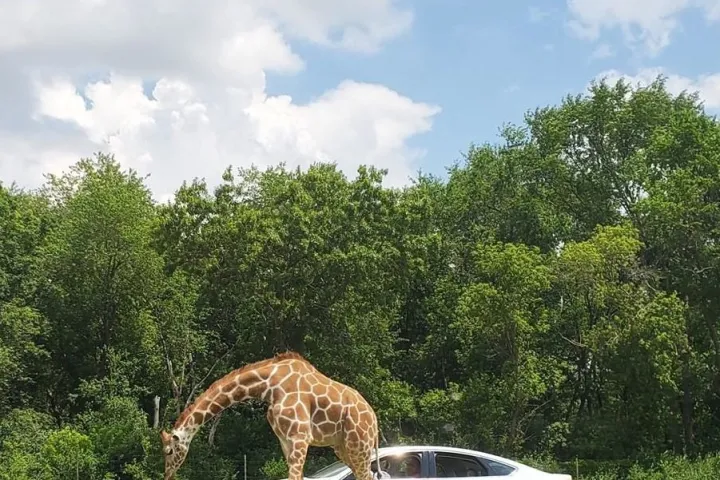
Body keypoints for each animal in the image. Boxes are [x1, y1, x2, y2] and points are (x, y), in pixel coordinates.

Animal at [160, 351, 382, 480]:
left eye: (169, 451)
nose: (167, 474)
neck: (268, 386)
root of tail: (374, 419)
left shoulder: (300, 437)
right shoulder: (285, 441)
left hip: (359, 445)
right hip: (341, 447)